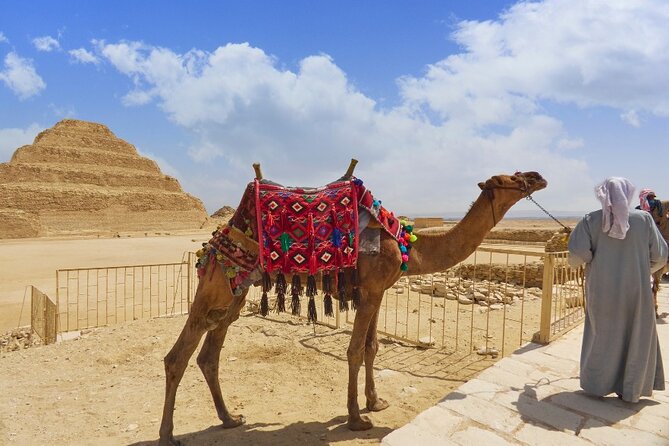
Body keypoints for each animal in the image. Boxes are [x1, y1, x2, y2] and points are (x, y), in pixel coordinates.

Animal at [158, 163, 547, 446]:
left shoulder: (376, 292)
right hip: (216, 285)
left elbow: (373, 347)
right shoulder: (372, 290)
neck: (407, 245)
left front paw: (376, 402)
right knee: (178, 355)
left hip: (235, 293)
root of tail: (218, 237)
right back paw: (167, 436)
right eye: (508, 178)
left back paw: (230, 418)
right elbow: (355, 350)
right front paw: (357, 418)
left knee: (209, 354)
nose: (537, 176)